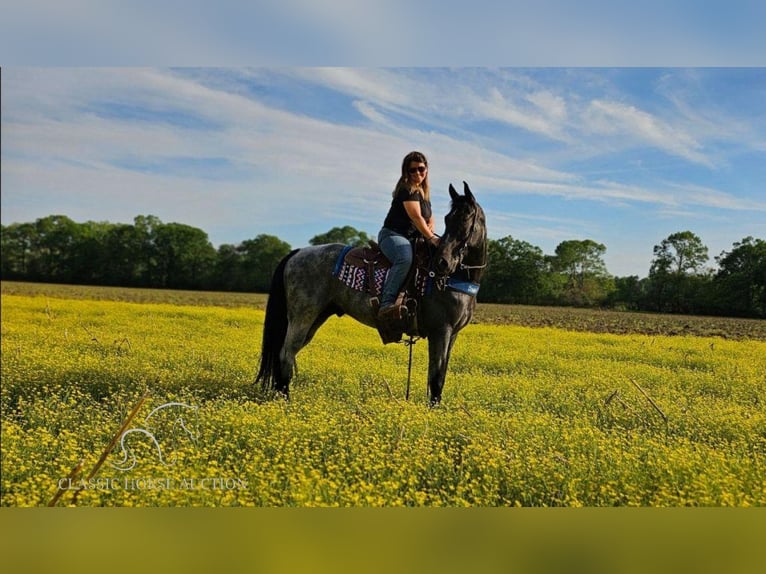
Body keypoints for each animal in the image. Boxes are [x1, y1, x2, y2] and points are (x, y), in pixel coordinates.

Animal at [255, 183, 488, 404]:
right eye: (449, 219)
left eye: (466, 218)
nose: (443, 262)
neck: (454, 279)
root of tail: (297, 253)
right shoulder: (440, 331)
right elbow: (436, 378)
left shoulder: (452, 334)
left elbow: (441, 376)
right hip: (302, 317)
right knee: (286, 354)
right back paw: (285, 401)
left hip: (314, 319)